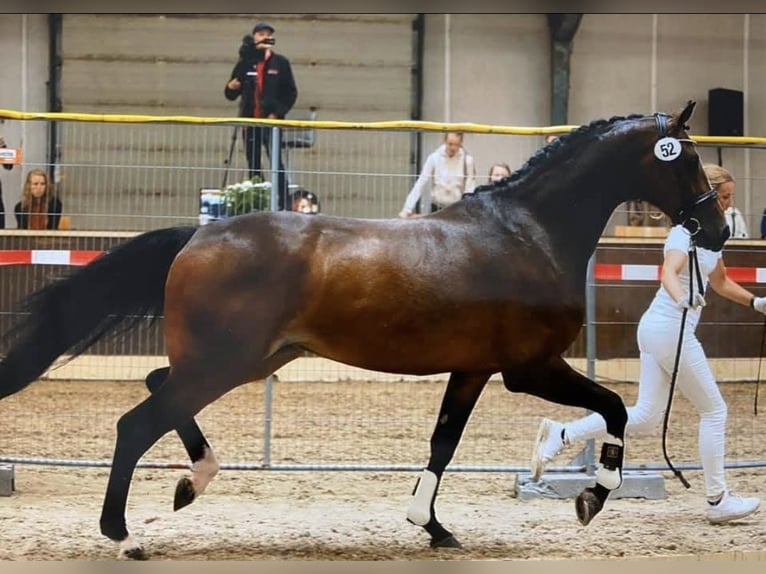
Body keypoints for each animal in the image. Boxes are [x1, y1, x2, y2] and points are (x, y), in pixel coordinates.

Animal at [0, 101, 728, 559]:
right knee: (137, 421)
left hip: (249, 359)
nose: (718, 229)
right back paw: (128, 534)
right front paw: (592, 499)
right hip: (225, 362)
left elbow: (443, 444)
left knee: (158, 387)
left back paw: (190, 483)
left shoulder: (473, 368)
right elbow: (613, 407)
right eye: (685, 159)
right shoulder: (529, 368)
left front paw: (430, 526)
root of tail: (200, 233)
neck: (528, 232)